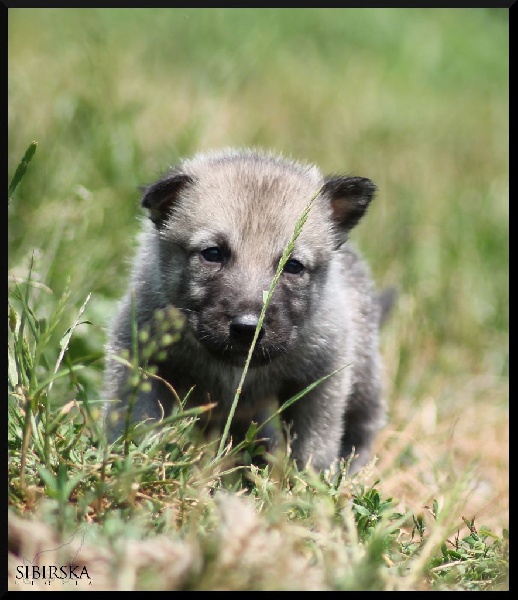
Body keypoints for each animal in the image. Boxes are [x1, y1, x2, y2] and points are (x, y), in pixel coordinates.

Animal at [103, 146, 392, 474]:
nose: (248, 329)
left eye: (293, 266)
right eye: (212, 253)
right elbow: (139, 418)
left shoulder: (322, 378)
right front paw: (135, 463)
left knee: (363, 423)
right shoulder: (138, 358)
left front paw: (309, 482)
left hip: (364, 377)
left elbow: (314, 443)